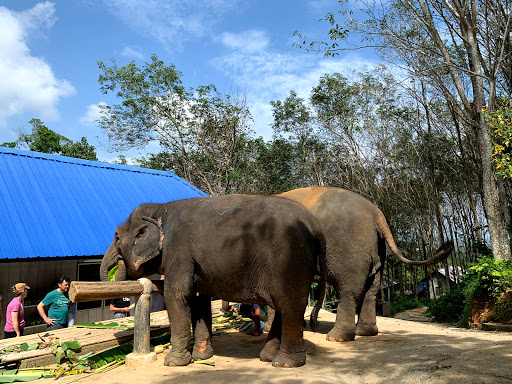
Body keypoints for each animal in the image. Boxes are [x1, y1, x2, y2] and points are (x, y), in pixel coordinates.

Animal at [98, 196, 326, 368]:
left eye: (116, 237)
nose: (114, 269)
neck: (160, 208)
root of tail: (316, 225)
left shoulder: (178, 251)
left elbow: (177, 296)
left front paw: (173, 363)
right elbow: (199, 299)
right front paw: (201, 357)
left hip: (290, 260)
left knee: (290, 306)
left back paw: (285, 363)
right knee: (282, 307)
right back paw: (268, 357)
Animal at [268, 187, 452, 342]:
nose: (314, 324)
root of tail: (377, 213)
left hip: (348, 251)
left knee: (349, 292)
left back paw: (336, 337)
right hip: (376, 252)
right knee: (371, 290)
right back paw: (364, 332)